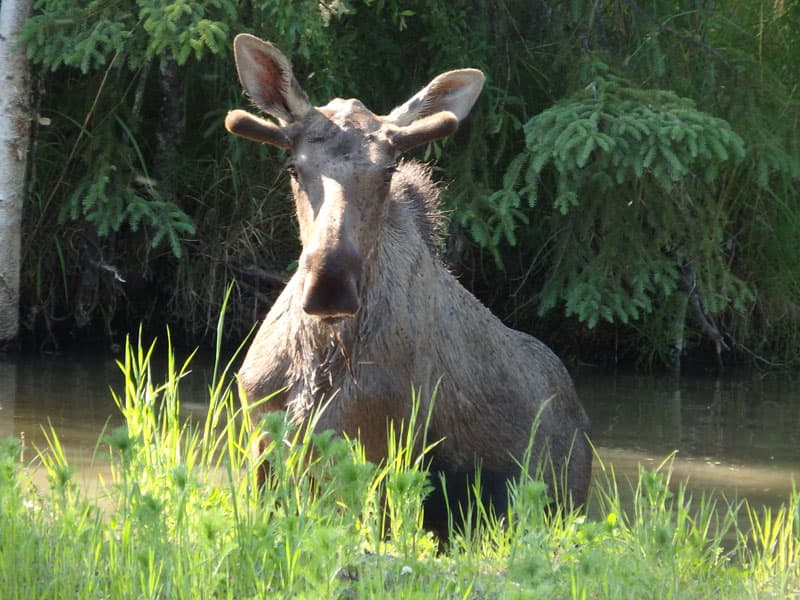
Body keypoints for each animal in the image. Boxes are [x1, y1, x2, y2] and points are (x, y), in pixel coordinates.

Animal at [225, 34, 588, 536]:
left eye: (387, 171)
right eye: (294, 169)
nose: (330, 285)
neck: (322, 356)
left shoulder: (386, 450)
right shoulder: (262, 434)